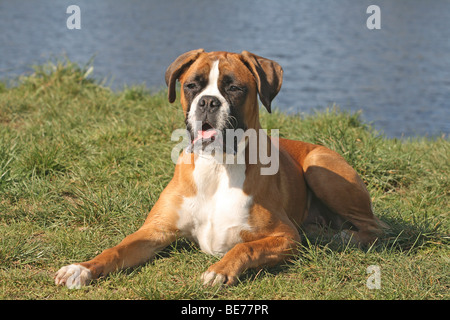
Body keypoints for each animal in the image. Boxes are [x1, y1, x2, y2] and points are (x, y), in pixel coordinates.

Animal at [55, 49, 386, 288]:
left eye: (234, 88)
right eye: (192, 86)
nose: (208, 102)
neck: (216, 166)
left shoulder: (285, 237)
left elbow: (245, 248)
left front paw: (220, 270)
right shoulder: (155, 231)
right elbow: (118, 249)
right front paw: (80, 268)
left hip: (320, 168)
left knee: (374, 229)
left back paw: (337, 237)